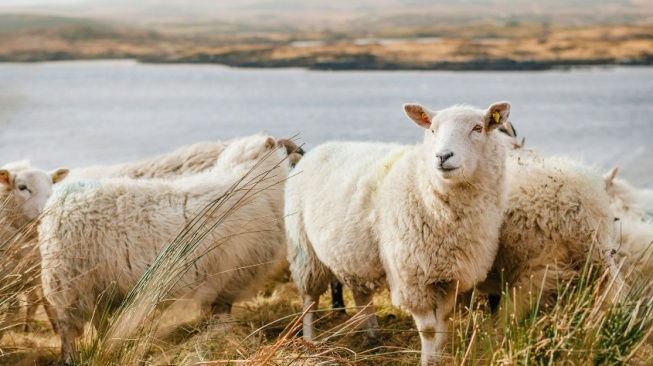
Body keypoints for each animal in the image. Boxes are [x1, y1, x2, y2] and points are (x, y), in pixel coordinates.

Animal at [37, 134, 290, 364]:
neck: (249, 180)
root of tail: (56, 205)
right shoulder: (226, 279)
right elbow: (221, 315)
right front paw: (222, 339)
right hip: (69, 282)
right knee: (68, 330)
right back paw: (71, 358)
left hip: (96, 286)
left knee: (99, 323)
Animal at [286, 101, 510, 364]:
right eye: (432, 129)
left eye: (478, 128)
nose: (442, 156)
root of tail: (315, 151)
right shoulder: (412, 277)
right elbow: (429, 329)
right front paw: (427, 361)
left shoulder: (451, 276)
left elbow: (443, 323)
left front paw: (438, 355)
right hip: (304, 250)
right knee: (310, 300)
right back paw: (309, 343)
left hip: (353, 253)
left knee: (361, 295)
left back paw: (373, 338)